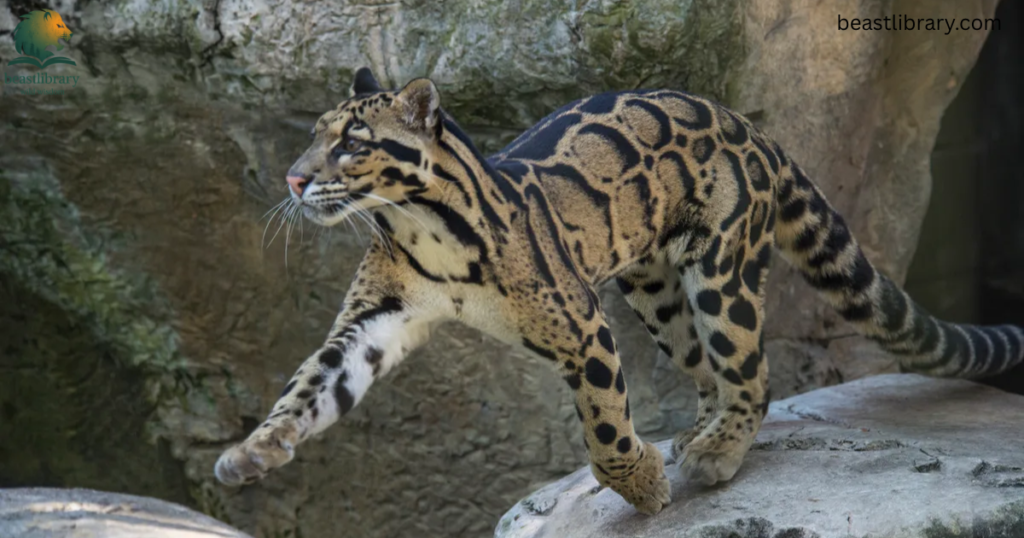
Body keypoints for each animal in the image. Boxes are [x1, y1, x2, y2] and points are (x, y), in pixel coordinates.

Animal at [215, 67, 1024, 515]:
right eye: (315, 135)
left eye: (351, 143)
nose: (293, 178)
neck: (418, 226)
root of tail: (751, 127)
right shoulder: (372, 318)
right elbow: (310, 387)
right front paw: (254, 453)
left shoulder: (582, 328)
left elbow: (604, 431)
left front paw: (640, 487)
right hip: (657, 292)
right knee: (708, 372)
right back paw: (698, 434)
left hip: (719, 273)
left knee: (752, 373)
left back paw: (716, 453)